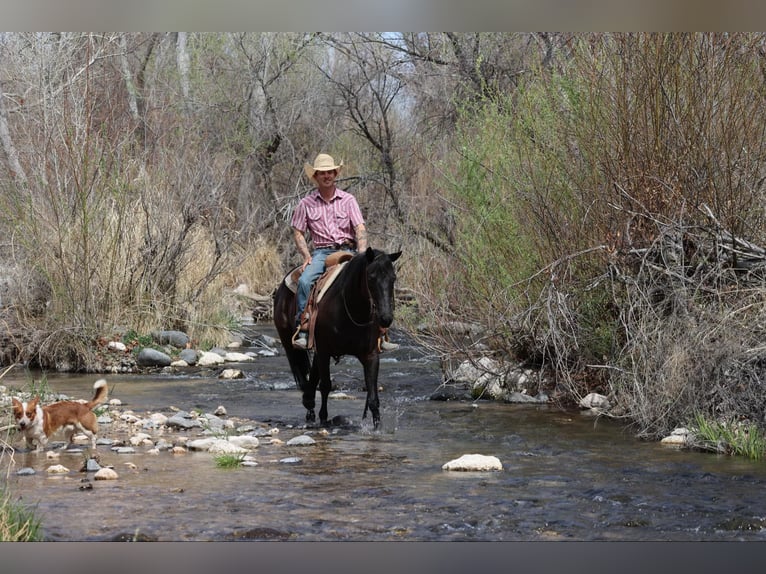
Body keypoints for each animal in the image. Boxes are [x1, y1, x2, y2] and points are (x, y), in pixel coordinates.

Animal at [273, 247, 402, 429]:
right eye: (371, 277)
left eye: (393, 278)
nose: (385, 318)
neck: (352, 309)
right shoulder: (324, 351)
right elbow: (326, 386)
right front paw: (323, 419)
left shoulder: (370, 356)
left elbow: (373, 396)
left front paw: (377, 426)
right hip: (289, 343)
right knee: (305, 377)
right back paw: (310, 409)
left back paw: (308, 401)